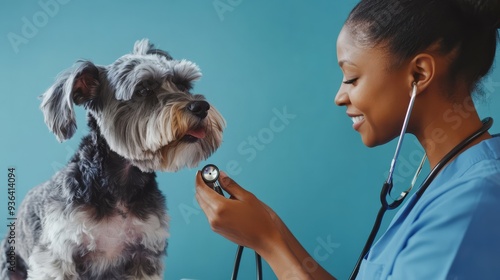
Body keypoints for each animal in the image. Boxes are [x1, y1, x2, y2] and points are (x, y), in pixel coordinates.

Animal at [0, 39, 226, 280]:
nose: (201, 107)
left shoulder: (145, 254)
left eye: (184, 85)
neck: (119, 187)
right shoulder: (57, 257)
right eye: (143, 90)